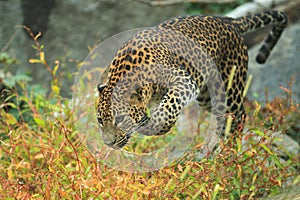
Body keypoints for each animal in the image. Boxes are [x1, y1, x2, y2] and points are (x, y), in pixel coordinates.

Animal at [96, 10, 288, 149]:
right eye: (100, 120)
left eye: (120, 119)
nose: (108, 143)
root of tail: (230, 21)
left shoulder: (184, 81)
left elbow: (170, 104)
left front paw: (155, 125)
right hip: (207, 96)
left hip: (230, 86)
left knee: (238, 116)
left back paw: (229, 152)